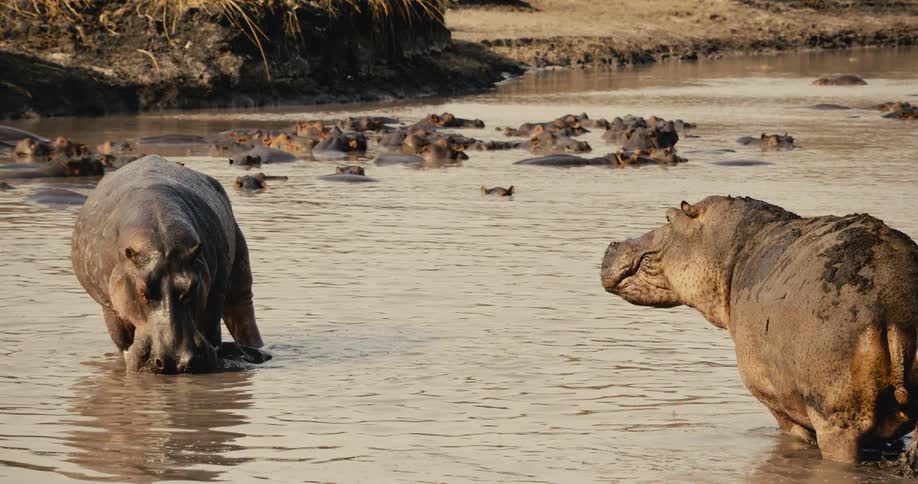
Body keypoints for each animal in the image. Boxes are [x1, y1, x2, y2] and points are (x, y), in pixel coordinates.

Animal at [71, 155, 267, 374]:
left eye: (192, 287)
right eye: (142, 292)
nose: (174, 360)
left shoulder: (214, 292)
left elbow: (211, 330)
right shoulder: (109, 305)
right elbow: (122, 341)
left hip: (239, 270)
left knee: (242, 310)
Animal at [600, 196, 918, 468]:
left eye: (668, 217)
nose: (612, 242)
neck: (729, 252)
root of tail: (894, 310)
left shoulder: (778, 406)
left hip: (838, 422)